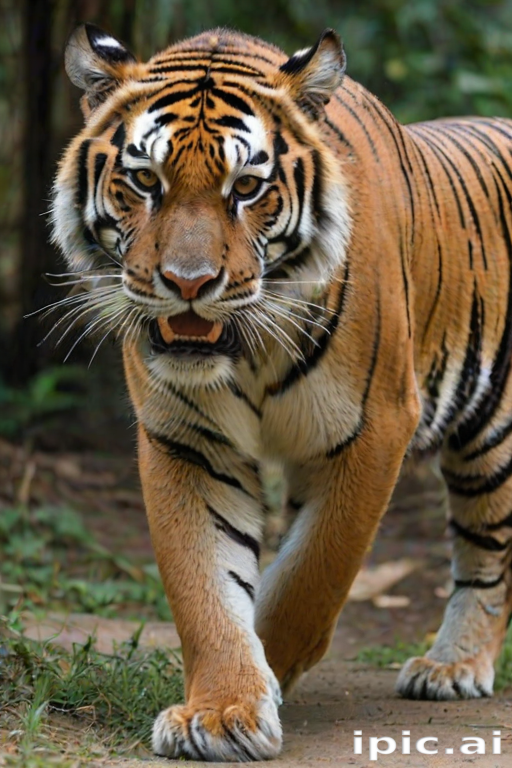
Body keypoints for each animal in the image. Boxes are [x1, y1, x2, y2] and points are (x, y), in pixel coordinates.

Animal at [51, 21, 512, 761]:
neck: (248, 354)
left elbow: (311, 575)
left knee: (486, 554)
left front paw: (272, 669)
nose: (187, 283)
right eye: (145, 179)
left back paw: (453, 666)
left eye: (246, 186)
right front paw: (223, 709)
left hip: (489, 439)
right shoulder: (188, 442)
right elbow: (206, 587)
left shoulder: (374, 428)